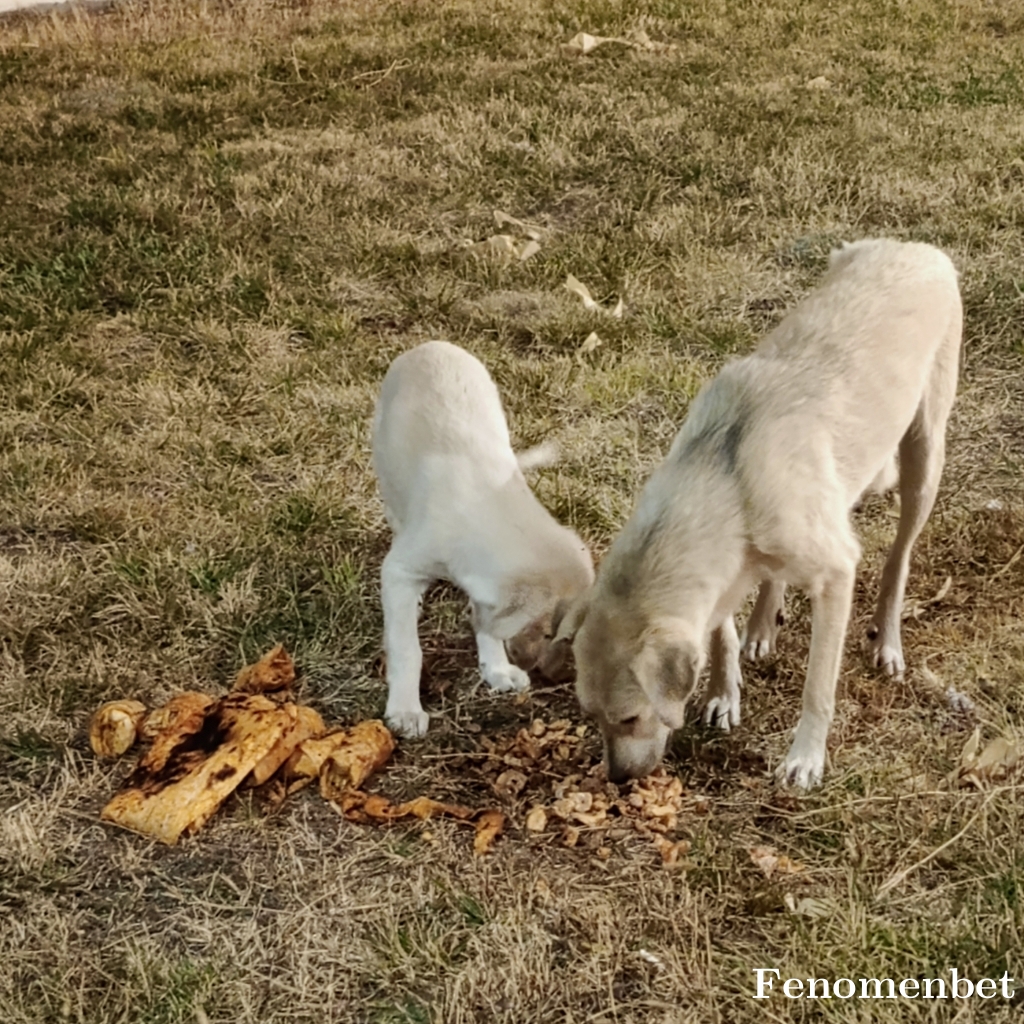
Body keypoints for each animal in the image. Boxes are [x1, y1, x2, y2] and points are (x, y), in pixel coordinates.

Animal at [370, 342, 593, 737]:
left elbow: (487, 623)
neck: (486, 505)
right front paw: (405, 710)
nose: (555, 678)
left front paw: (497, 669)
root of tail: (432, 344)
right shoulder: (399, 570)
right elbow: (407, 647)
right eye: (550, 633)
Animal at [552, 237, 958, 782]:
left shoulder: (836, 574)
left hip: (924, 458)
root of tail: (914, 246)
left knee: (899, 559)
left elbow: (818, 687)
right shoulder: (721, 579)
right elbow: (721, 636)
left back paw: (887, 640)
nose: (616, 780)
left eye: (630, 718)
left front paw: (805, 758)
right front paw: (724, 694)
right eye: (590, 715)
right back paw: (764, 622)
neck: (724, 474)